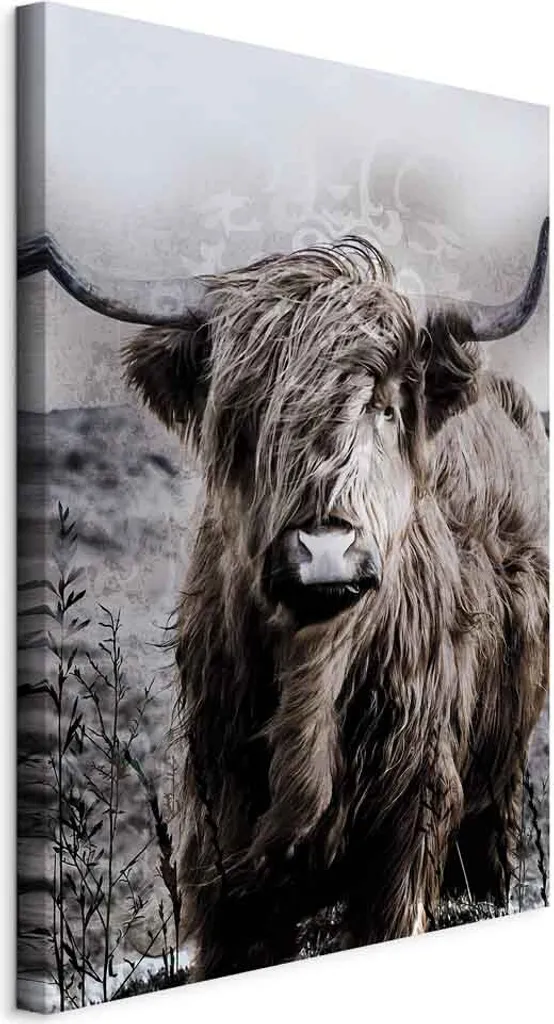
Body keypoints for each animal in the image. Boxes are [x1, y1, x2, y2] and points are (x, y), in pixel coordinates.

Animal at [18, 219, 549, 980]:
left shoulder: (410, 821)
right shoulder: (220, 839)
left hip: (498, 783)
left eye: (385, 407)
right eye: (248, 416)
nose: (324, 549)